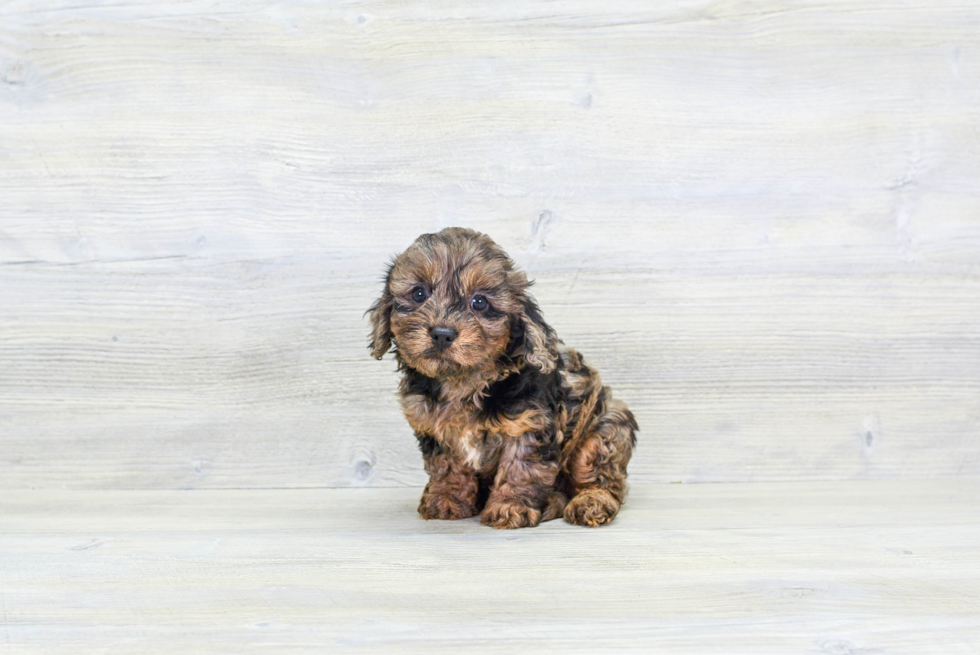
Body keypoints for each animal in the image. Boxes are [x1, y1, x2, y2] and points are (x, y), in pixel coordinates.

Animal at [368, 228, 636, 532]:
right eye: (419, 293)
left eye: (480, 302)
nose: (442, 333)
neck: (464, 380)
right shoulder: (435, 429)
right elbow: (447, 467)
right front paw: (446, 499)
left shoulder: (529, 425)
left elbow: (521, 468)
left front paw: (510, 507)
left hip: (603, 432)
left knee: (603, 478)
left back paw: (591, 501)